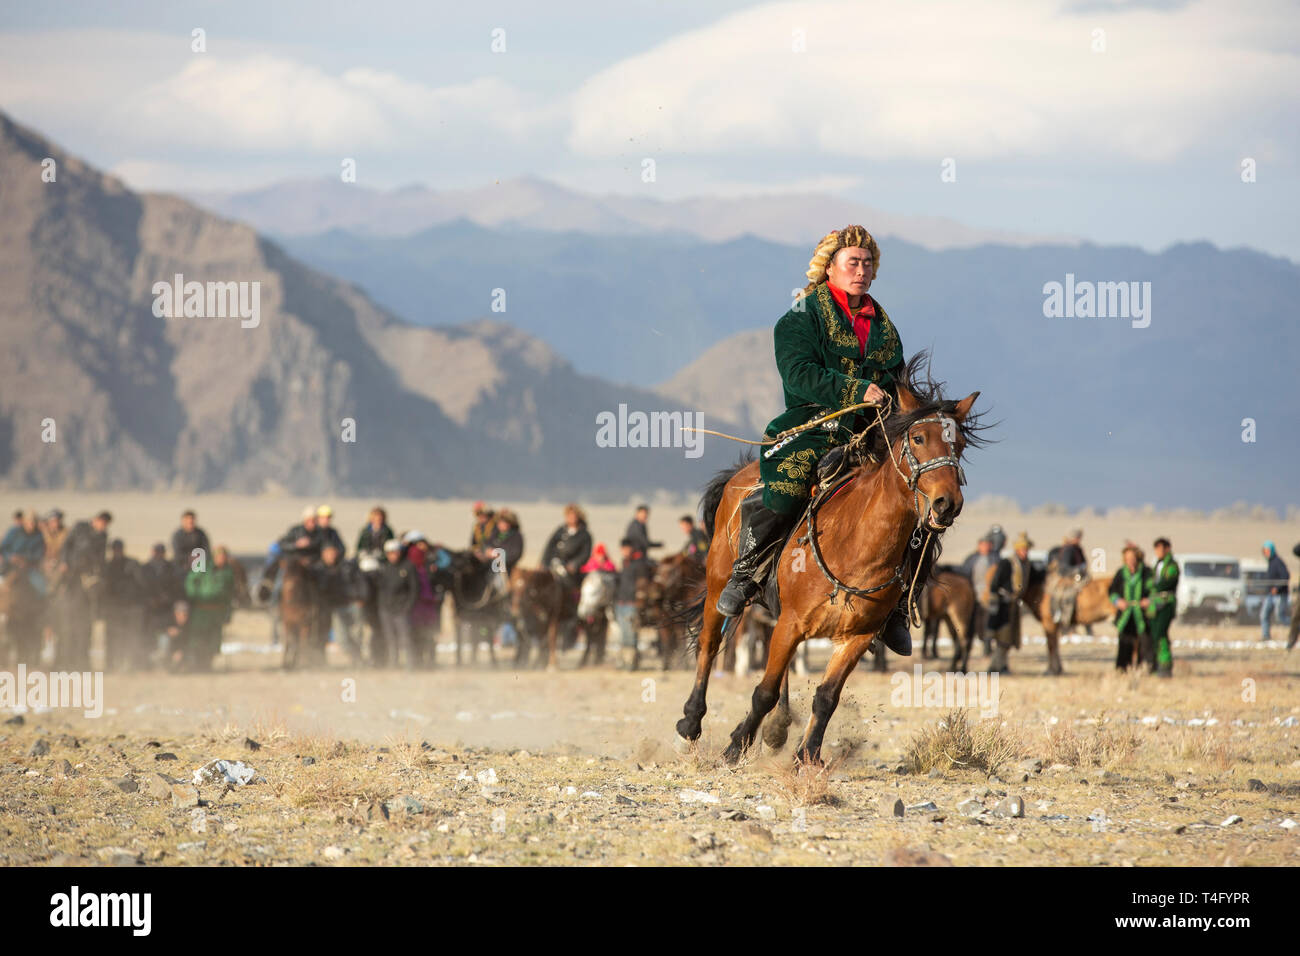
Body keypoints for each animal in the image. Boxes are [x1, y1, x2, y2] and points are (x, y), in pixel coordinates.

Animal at [676, 356, 977, 764]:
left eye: (958, 444)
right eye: (918, 438)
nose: (948, 504)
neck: (857, 547)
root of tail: (743, 473)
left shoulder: (856, 637)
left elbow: (826, 698)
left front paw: (808, 756)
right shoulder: (792, 622)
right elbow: (763, 691)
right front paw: (736, 746)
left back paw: (776, 730)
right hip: (718, 585)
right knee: (708, 644)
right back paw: (691, 723)